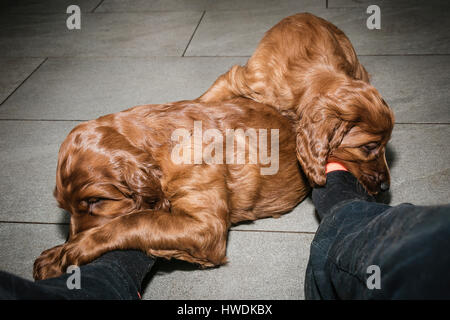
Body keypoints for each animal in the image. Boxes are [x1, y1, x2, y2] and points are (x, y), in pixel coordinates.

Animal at [34, 97, 310, 280]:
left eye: (95, 201)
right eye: (65, 208)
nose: (71, 240)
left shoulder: (206, 228)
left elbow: (137, 220)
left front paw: (73, 249)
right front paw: (54, 256)